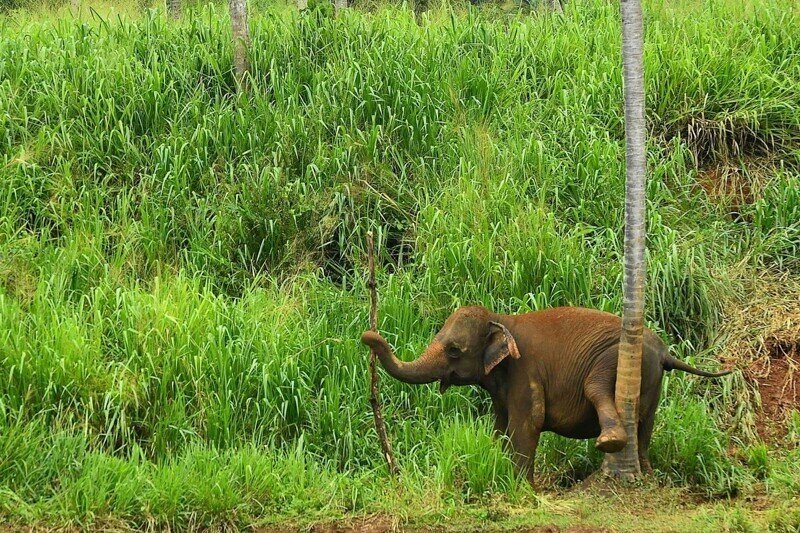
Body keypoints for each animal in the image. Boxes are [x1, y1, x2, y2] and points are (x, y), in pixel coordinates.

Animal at [362, 304, 732, 482]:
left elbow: (527, 423)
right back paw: (647, 473)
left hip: (616, 358)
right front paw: (496, 464)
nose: (367, 335)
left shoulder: (525, 372)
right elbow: (501, 425)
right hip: (652, 379)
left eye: (454, 350)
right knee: (646, 425)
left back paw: (610, 442)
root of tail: (666, 352)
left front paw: (521, 488)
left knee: (596, 388)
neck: (501, 318)